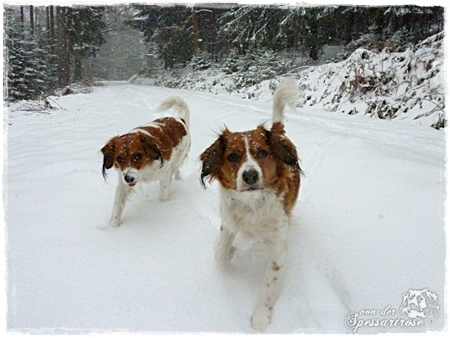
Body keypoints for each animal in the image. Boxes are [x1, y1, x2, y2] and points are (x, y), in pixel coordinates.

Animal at [199, 79, 300, 330]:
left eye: (262, 153)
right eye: (233, 157)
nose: (250, 175)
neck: (252, 205)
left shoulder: (277, 245)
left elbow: (268, 285)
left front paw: (261, 317)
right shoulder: (228, 224)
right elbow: (220, 257)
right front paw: (229, 251)